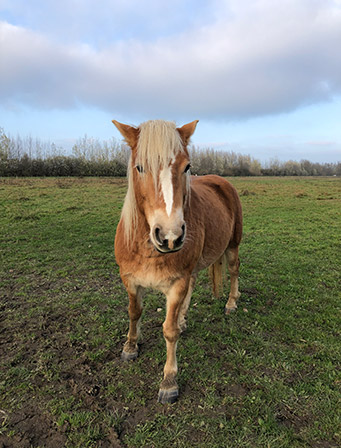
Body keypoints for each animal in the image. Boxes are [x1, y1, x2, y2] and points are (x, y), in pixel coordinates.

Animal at [113, 118, 240, 402]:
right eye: (140, 167)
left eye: (187, 167)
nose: (170, 237)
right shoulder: (130, 281)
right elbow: (133, 313)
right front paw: (130, 347)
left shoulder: (175, 285)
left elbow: (169, 331)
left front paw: (169, 382)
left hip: (233, 245)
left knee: (234, 270)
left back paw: (231, 304)